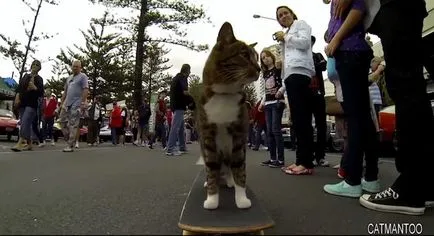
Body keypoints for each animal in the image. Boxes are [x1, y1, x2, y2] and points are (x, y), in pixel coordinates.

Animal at [197, 22, 262, 210]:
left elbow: (239, 168)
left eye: (256, 57)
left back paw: (230, 180)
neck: (224, 94)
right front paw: (212, 199)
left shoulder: (239, 134)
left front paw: (241, 199)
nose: (259, 68)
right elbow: (211, 168)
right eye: (244, 55)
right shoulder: (208, 135)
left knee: (230, 166)